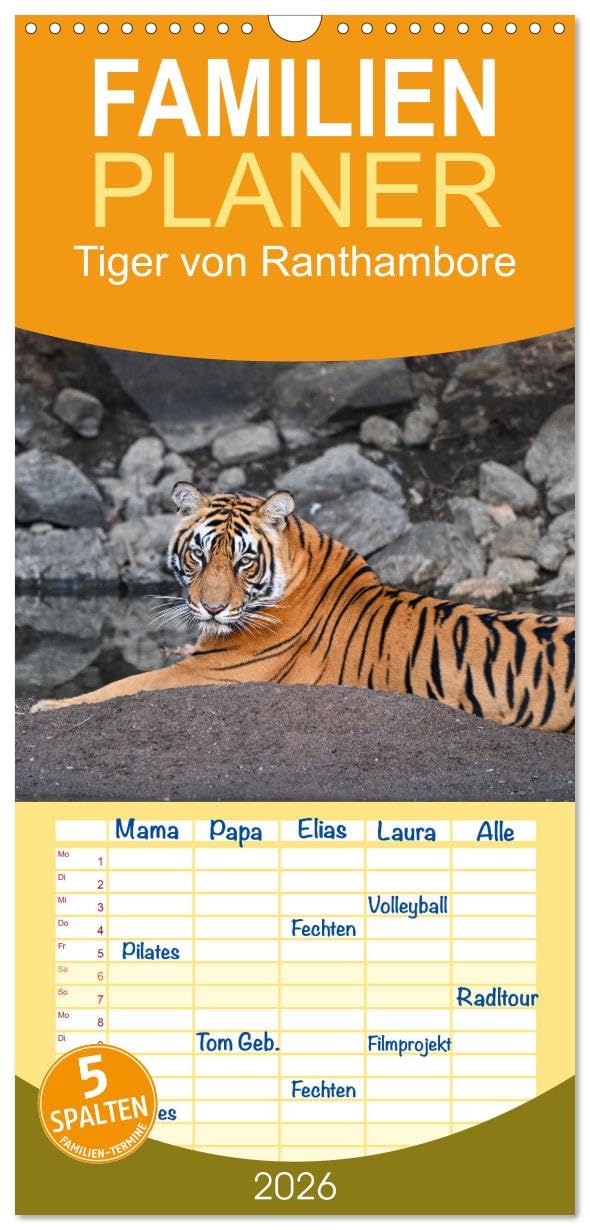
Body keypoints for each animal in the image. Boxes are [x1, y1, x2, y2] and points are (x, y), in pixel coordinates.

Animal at [31, 482, 575, 732]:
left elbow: (121, 687)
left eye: (245, 560)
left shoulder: (208, 673)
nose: (211, 610)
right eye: (199, 555)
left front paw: (46, 706)